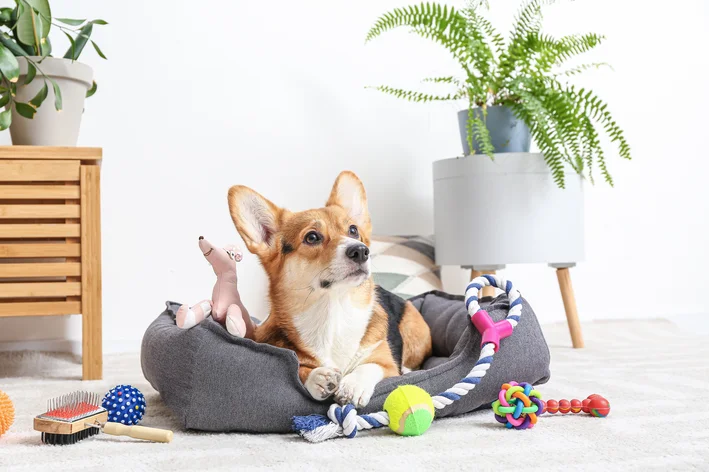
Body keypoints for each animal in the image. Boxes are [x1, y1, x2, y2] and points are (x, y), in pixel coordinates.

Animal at [228, 171, 432, 408]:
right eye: (312, 237)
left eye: (353, 230)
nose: (361, 251)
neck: (333, 312)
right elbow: (300, 369)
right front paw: (318, 377)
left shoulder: (387, 365)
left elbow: (369, 366)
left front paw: (353, 385)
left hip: (414, 327)